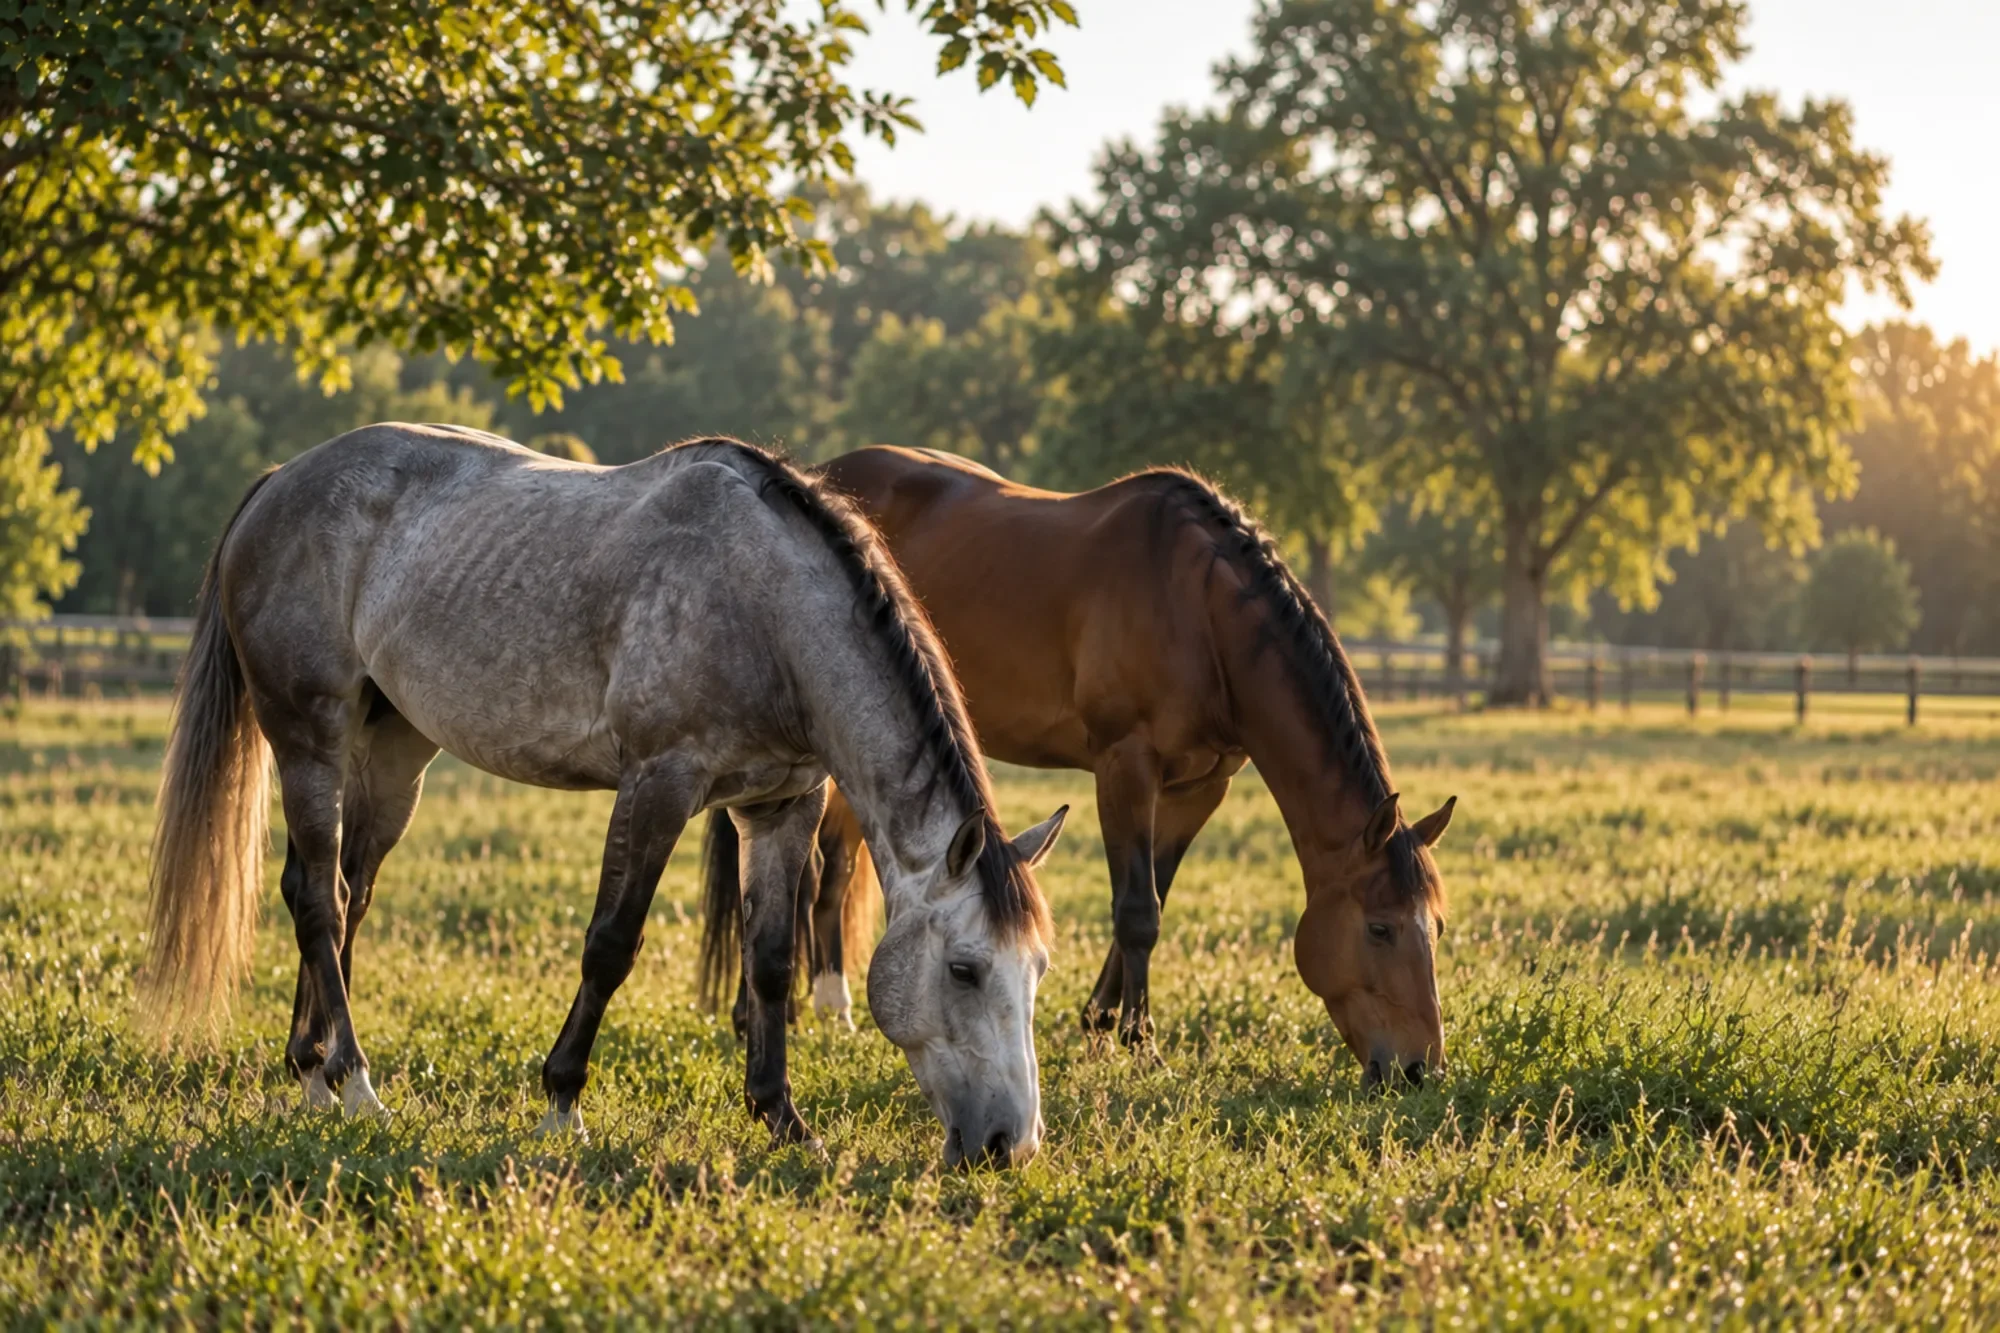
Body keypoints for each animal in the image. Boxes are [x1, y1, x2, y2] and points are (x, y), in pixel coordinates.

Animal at [143, 427, 1067, 1165]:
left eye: (1038, 969)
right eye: (964, 968)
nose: (1009, 1145)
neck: (764, 604)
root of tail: (281, 479)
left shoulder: (781, 807)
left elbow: (773, 961)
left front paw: (783, 1118)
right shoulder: (659, 784)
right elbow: (611, 944)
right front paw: (562, 1100)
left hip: (393, 752)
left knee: (338, 892)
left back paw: (310, 1070)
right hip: (310, 737)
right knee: (320, 905)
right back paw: (355, 1080)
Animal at [802, 446, 1455, 1088]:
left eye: (1438, 927)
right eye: (1380, 928)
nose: (1416, 1068)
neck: (1199, 612)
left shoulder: (1201, 788)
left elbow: (1152, 897)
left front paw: (1100, 1023)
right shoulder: (1125, 766)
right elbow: (1138, 911)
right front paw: (1142, 1045)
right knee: (829, 867)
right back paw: (829, 1007)